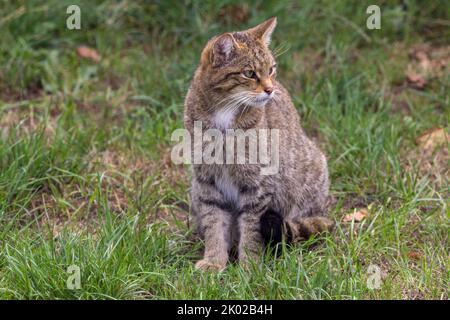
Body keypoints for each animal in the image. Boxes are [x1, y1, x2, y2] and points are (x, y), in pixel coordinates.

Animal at [184, 17, 334, 272]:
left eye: (271, 69)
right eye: (249, 73)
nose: (270, 89)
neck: (224, 114)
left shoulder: (257, 185)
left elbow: (252, 230)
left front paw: (250, 267)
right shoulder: (207, 182)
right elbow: (214, 224)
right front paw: (214, 261)